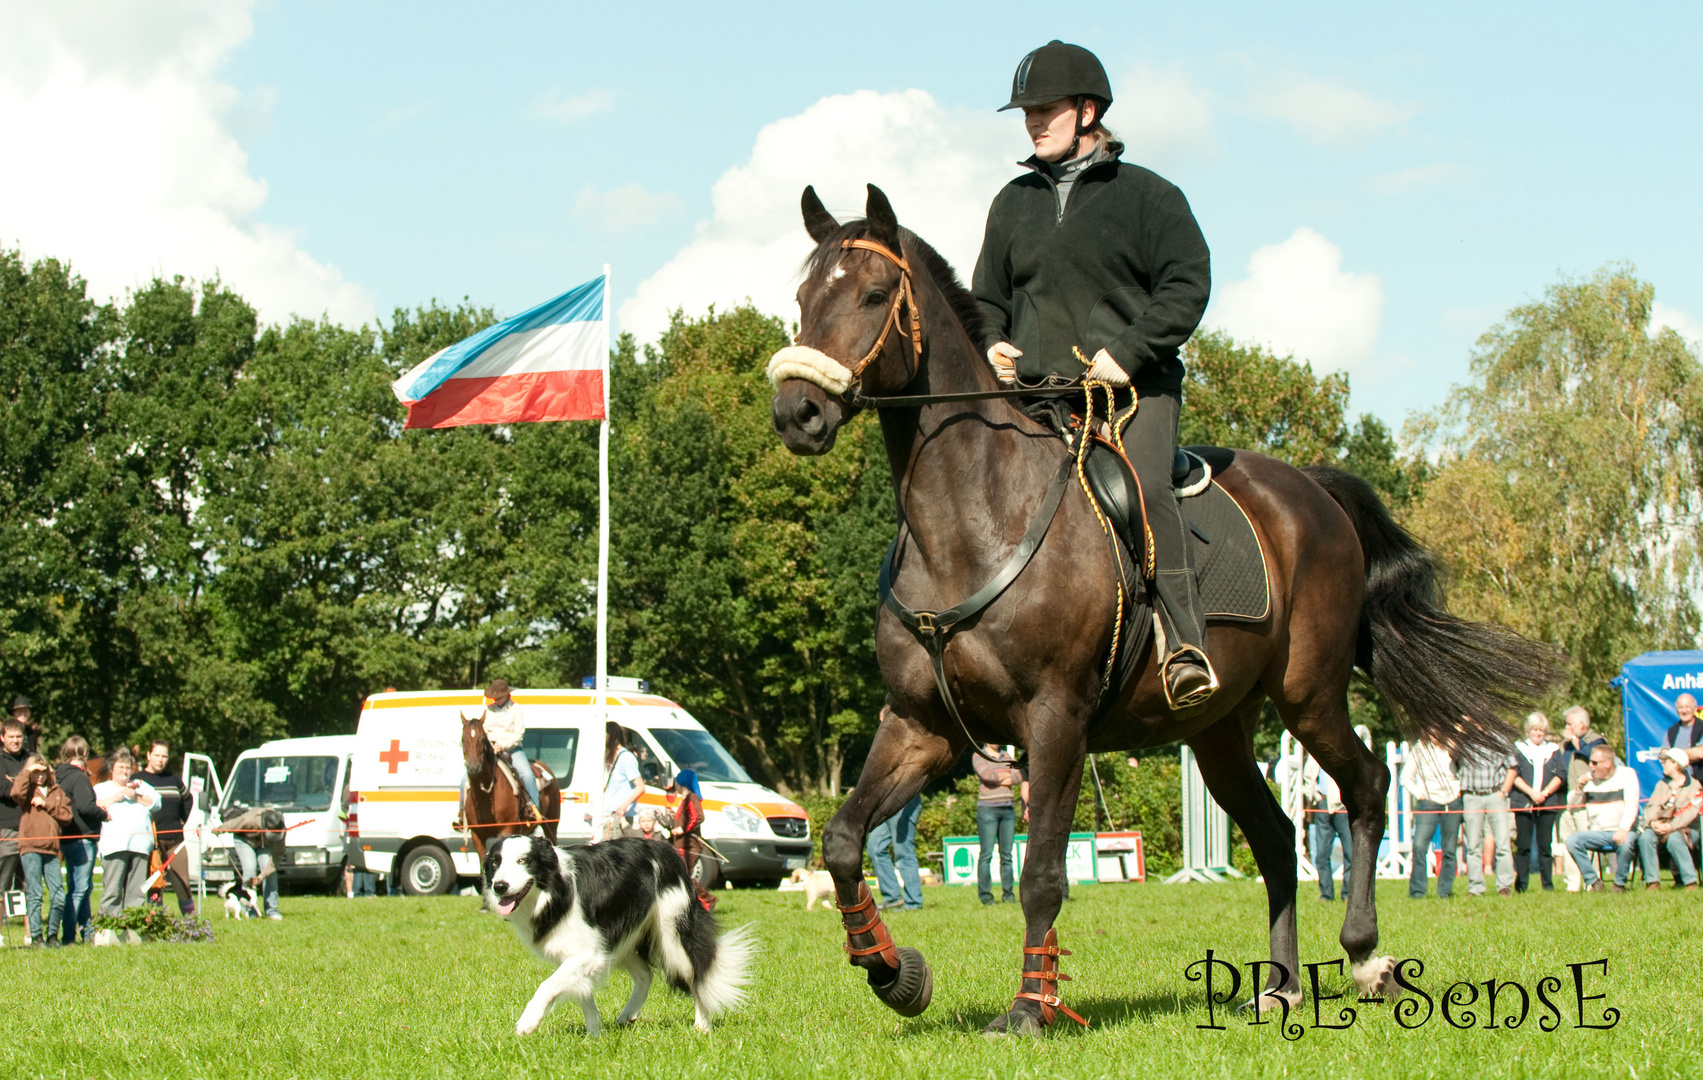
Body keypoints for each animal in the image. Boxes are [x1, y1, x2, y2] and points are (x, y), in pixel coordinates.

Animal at [463, 712, 561, 855]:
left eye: (482, 738)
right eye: (462, 739)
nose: (473, 767)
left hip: (551, 825)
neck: (485, 796)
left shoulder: (507, 829)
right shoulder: (477, 836)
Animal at [480, 831, 745, 1035]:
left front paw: (527, 1022)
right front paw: (594, 1033)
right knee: (645, 975)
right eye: (495, 863)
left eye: (523, 860)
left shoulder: (588, 952)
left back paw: (702, 1026)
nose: (499, 886)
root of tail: (668, 850)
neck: (553, 890)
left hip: (672, 932)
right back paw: (628, 1014)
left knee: (696, 974)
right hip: (623, 934)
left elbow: (548, 985)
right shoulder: (581, 952)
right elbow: (581, 990)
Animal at [769, 184, 1559, 1035]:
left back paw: (1363, 956)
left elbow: (1040, 875)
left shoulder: (1055, 721)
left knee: (1367, 786)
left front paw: (1028, 1009)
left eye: (873, 294)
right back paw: (1279, 984)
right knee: (1277, 838)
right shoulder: (921, 727)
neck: (972, 520)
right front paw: (893, 972)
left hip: (1308, 695)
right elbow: (843, 839)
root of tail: (1312, 490)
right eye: (802, 300)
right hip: (1217, 729)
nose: (796, 413)